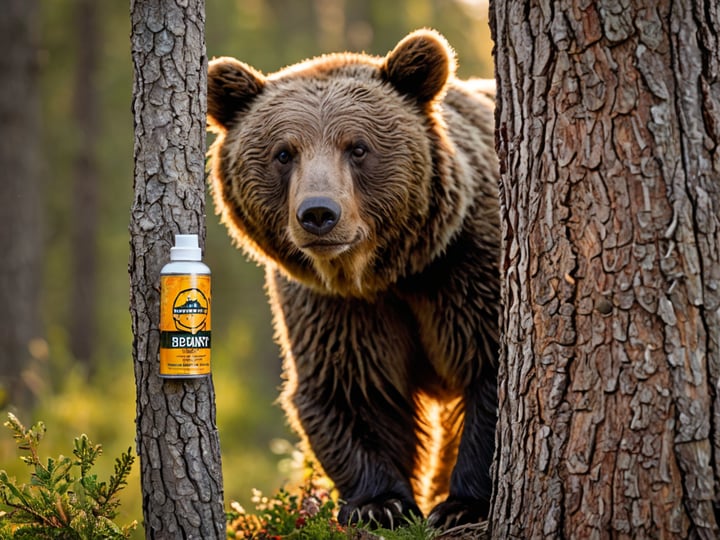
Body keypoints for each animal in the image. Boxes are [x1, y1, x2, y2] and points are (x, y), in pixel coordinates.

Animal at [206, 29, 500, 530]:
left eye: (357, 147)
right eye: (283, 153)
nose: (318, 214)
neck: (388, 271)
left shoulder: (464, 269)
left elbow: (489, 366)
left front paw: (461, 504)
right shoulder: (334, 305)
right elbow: (352, 386)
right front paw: (380, 503)